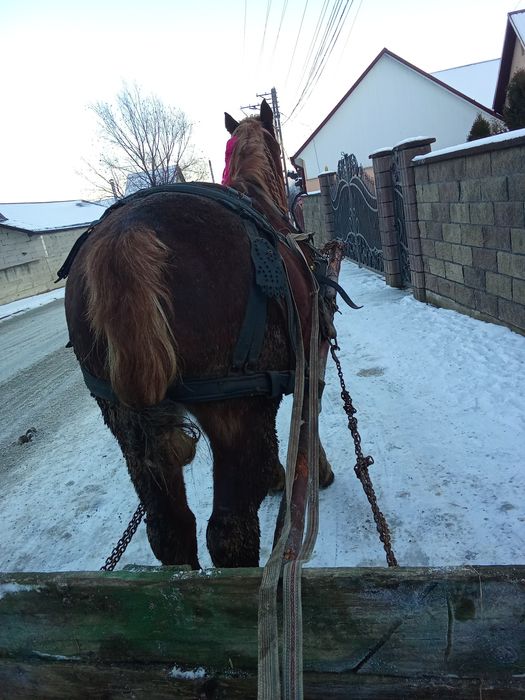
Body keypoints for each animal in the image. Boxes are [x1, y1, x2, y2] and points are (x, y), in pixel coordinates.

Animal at [63, 100, 334, 570]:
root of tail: (125, 236)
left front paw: (273, 475)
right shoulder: (305, 358)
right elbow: (307, 418)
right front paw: (312, 471)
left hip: (123, 418)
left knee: (170, 529)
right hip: (232, 409)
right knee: (229, 532)